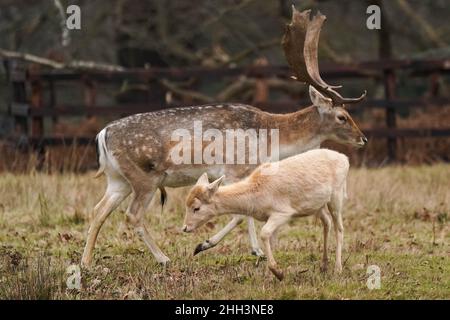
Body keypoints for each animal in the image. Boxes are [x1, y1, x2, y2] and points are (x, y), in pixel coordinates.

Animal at [81, 8, 370, 268]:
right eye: (342, 116)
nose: (363, 139)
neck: (269, 139)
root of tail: (102, 135)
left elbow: (246, 211)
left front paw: (254, 251)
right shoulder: (233, 168)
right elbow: (240, 214)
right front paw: (209, 245)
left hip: (118, 179)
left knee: (98, 210)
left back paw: (86, 263)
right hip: (145, 178)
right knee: (132, 215)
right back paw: (163, 258)